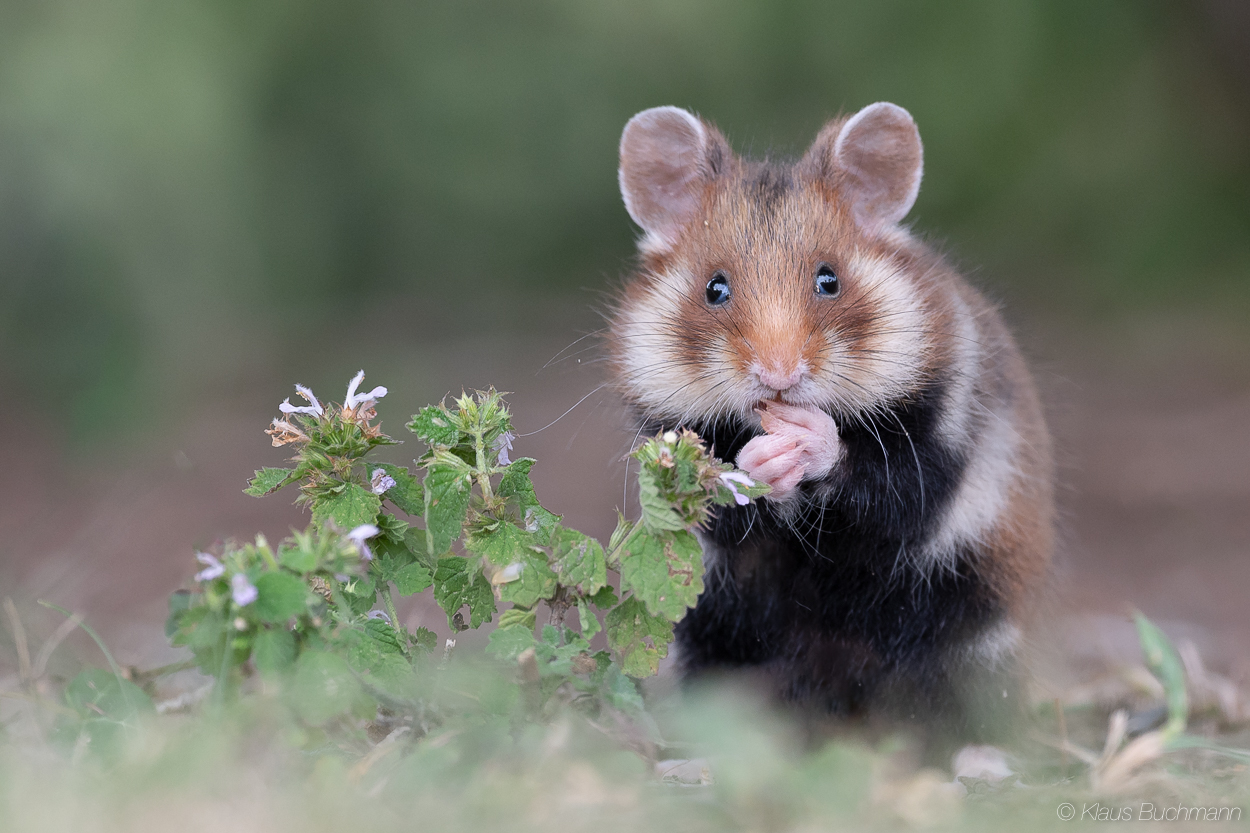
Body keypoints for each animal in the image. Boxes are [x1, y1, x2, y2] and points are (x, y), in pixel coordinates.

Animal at [605, 103, 1055, 740]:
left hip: (969, 625)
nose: (779, 375)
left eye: (829, 280)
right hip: (709, 627)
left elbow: (889, 486)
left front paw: (806, 437)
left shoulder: (939, 439)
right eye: (715, 288)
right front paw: (762, 458)